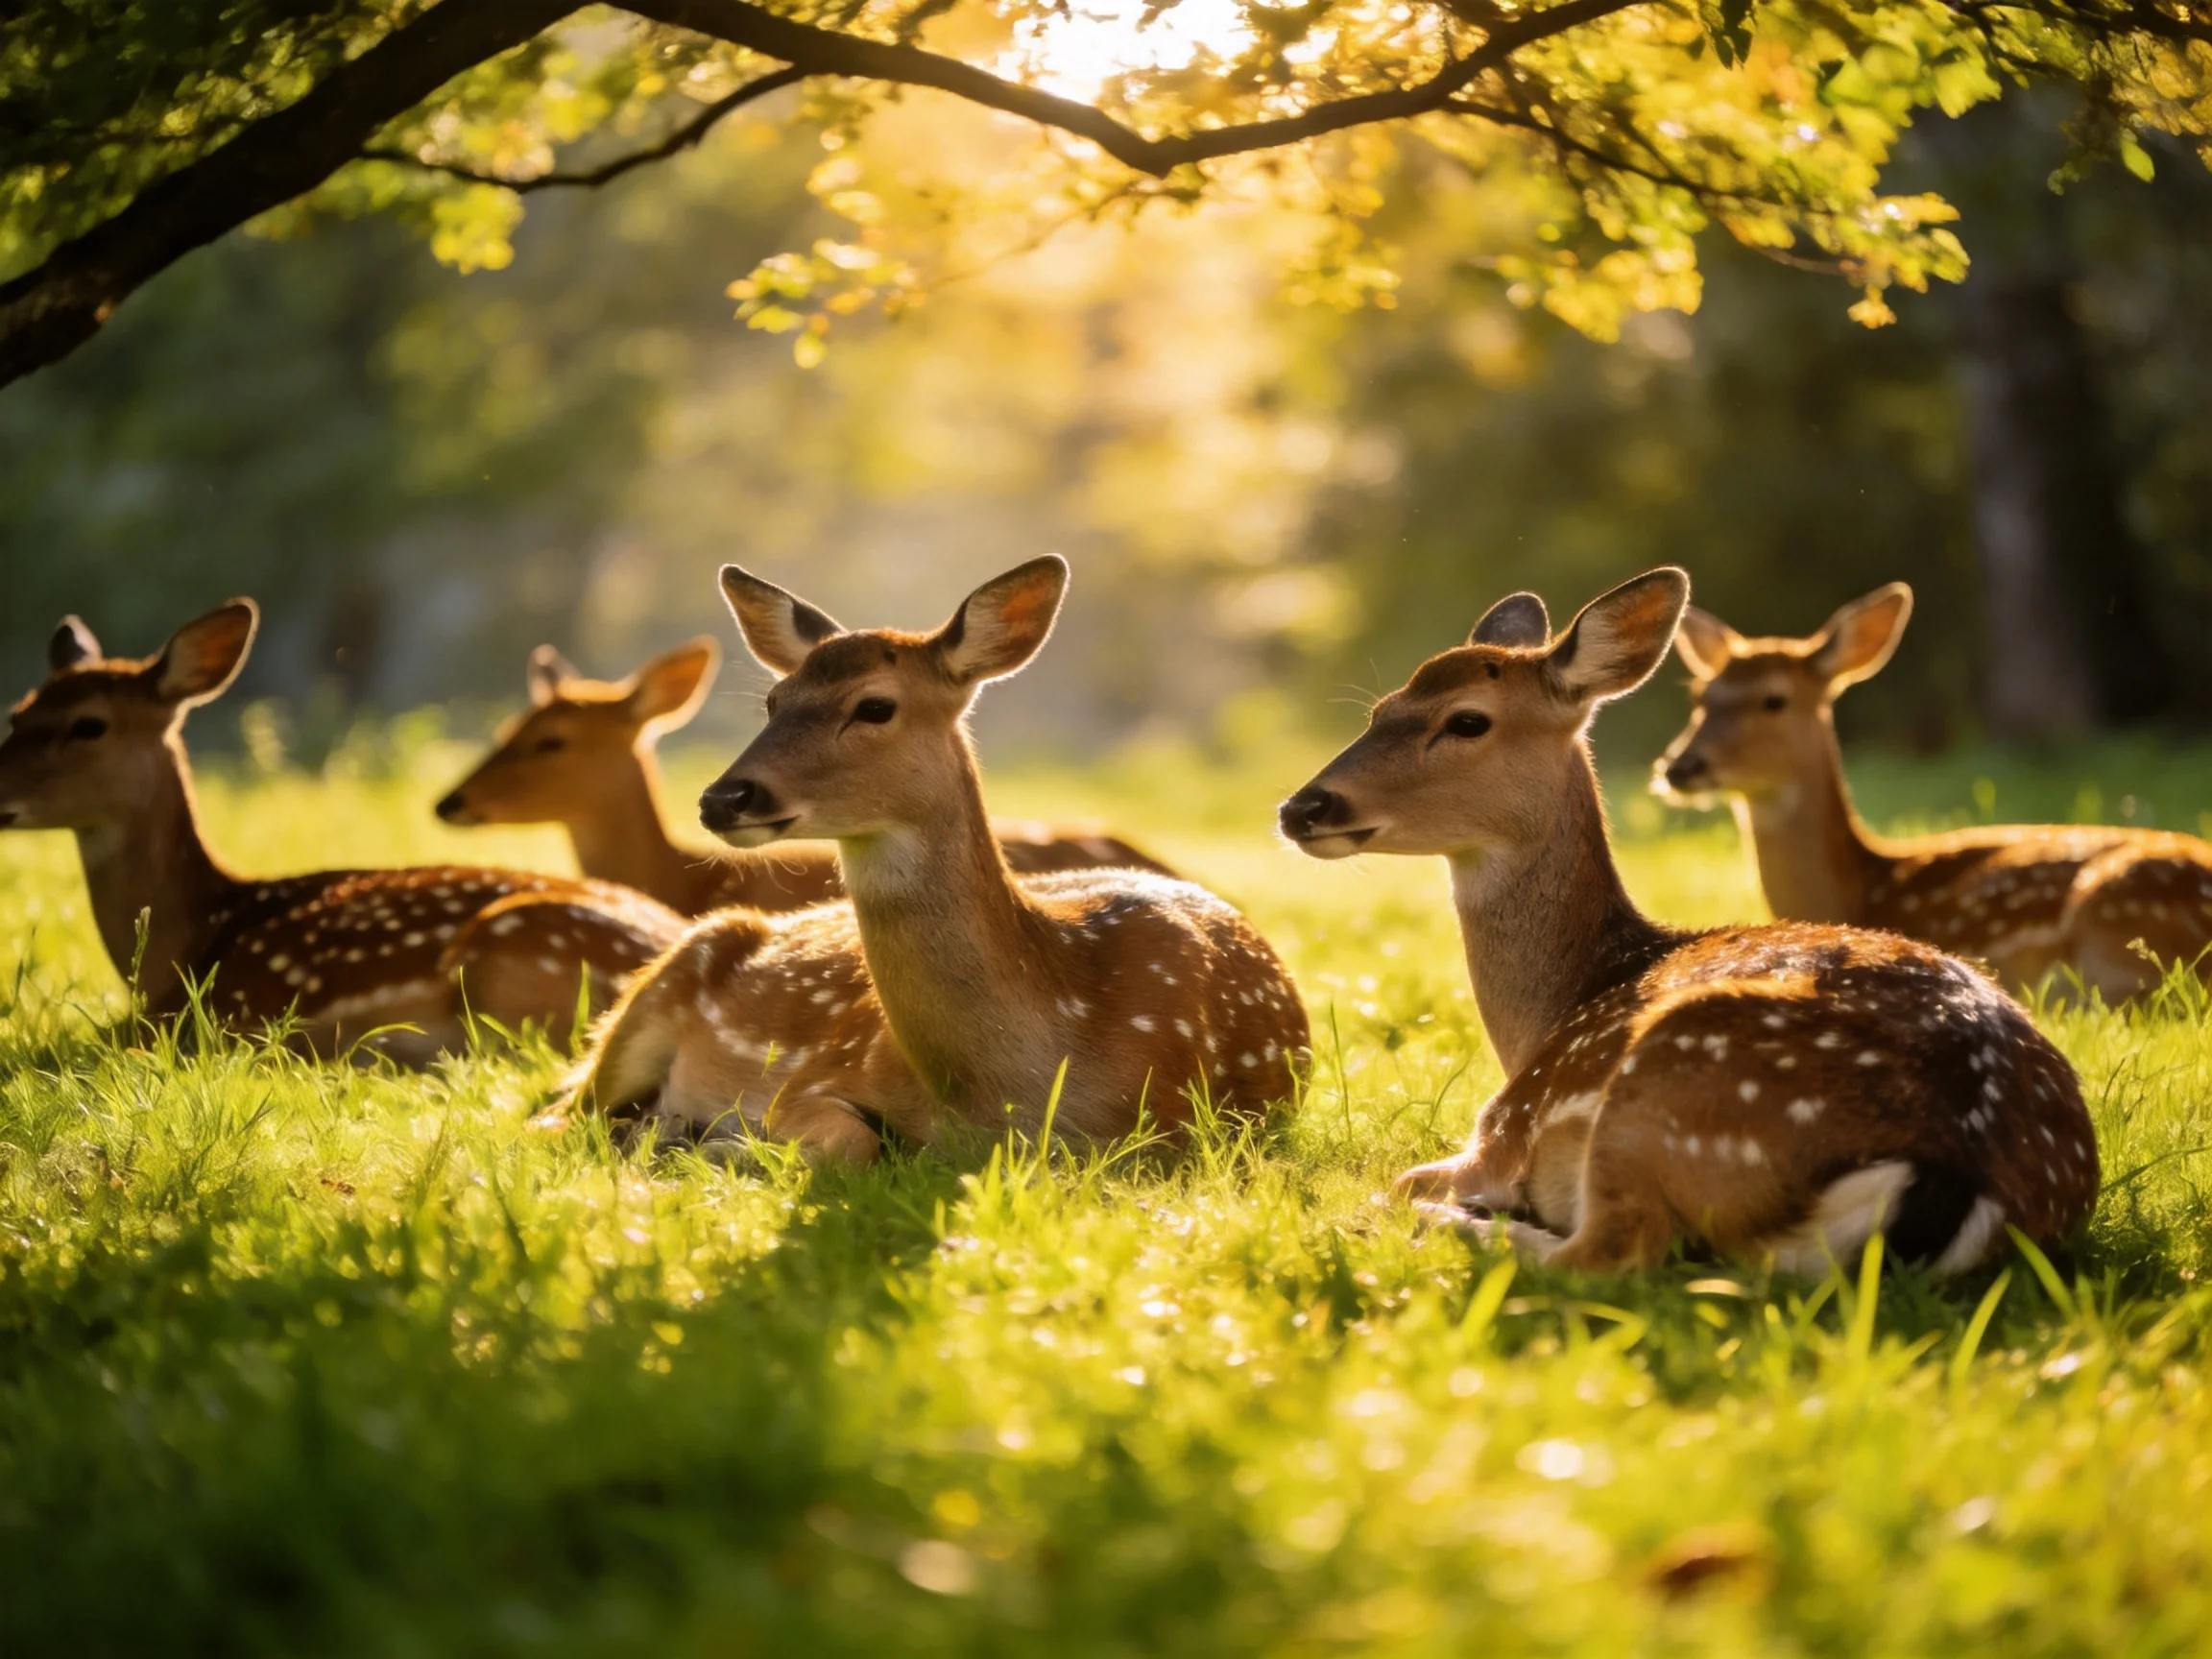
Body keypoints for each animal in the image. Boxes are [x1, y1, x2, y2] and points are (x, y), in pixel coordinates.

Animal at [565, 556, 1308, 1161]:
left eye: (874, 706)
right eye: (774, 701)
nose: (724, 797)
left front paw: (709, 1143)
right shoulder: (820, 1075)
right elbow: (854, 1141)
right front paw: (715, 1142)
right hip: (650, 996)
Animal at [1279, 569, 2097, 1276]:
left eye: (1468, 721)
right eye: (1380, 710)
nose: (1301, 807)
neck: (1557, 1010)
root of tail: (1952, 1169)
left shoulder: (1504, 1132)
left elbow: (1405, 1175)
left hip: (1661, 1093)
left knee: (1608, 1252)